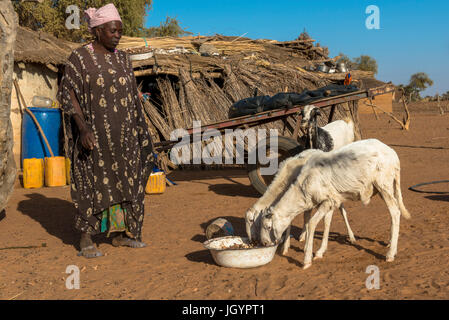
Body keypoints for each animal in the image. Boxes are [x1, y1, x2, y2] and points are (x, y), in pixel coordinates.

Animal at [260, 139, 410, 268]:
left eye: (268, 227)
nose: (265, 243)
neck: (302, 189)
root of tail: (393, 154)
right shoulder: (331, 202)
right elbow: (325, 221)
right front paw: (320, 251)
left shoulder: (328, 200)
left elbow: (312, 223)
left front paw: (307, 259)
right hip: (385, 187)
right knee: (394, 211)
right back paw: (390, 244)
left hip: (383, 184)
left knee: (395, 212)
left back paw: (390, 254)